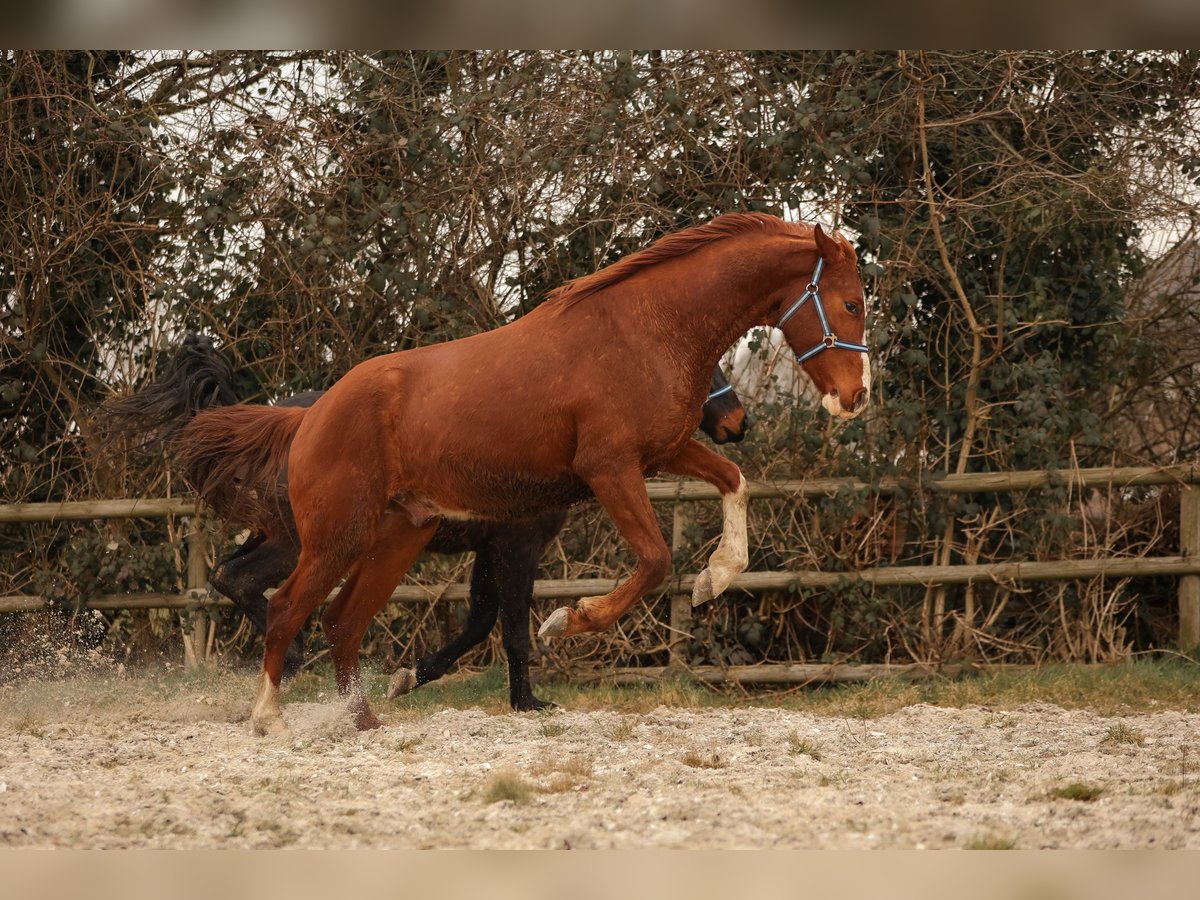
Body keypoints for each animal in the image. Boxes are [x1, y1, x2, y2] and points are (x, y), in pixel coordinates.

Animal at [175, 214, 873, 734]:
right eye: (850, 302)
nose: (855, 397)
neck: (646, 330)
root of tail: (309, 416)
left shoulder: (664, 453)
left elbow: (734, 482)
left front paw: (713, 579)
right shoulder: (605, 472)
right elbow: (650, 562)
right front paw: (569, 621)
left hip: (398, 536)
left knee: (341, 620)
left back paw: (366, 720)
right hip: (334, 536)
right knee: (286, 606)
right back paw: (270, 716)